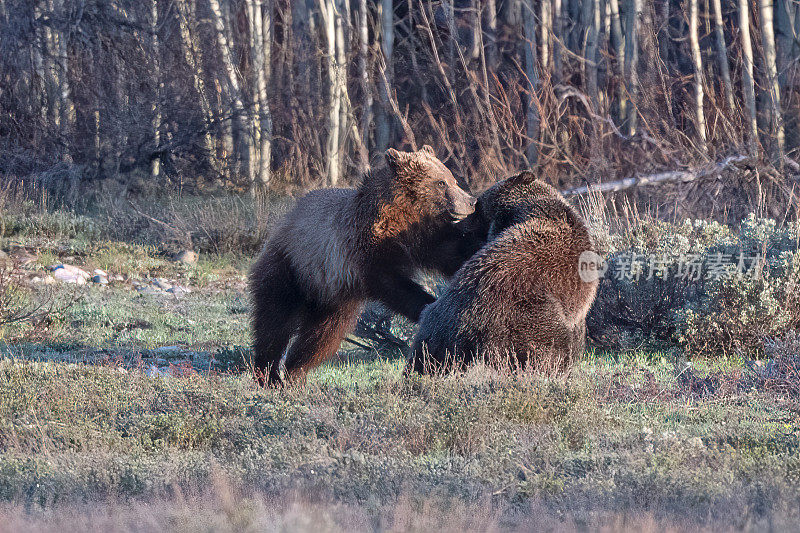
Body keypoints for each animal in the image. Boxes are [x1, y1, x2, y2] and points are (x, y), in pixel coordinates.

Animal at [248, 145, 476, 386]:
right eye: (441, 183)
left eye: (452, 179)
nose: (471, 201)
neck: (403, 215)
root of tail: (285, 220)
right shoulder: (367, 250)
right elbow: (393, 285)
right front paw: (427, 304)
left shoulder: (425, 238)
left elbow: (451, 254)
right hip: (291, 267)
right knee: (274, 322)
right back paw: (268, 374)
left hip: (334, 300)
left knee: (322, 336)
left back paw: (295, 372)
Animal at [406, 170, 600, 374]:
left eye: (477, 205)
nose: (460, 220)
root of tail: (469, 326)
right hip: (521, 315)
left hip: (438, 325)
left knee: (425, 348)